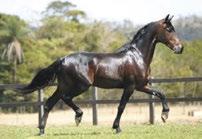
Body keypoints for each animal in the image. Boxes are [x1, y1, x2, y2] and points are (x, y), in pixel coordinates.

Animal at [18, 14, 183, 135]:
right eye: (169, 29)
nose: (180, 48)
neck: (138, 57)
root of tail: (62, 59)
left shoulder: (141, 86)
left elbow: (161, 93)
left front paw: (164, 115)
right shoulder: (130, 87)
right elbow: (121, 106)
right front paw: (117, 127)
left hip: (63, 86)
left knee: (49, 103)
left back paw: (42, 130)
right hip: (81, 85)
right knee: (65, 98)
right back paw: (78, 116)